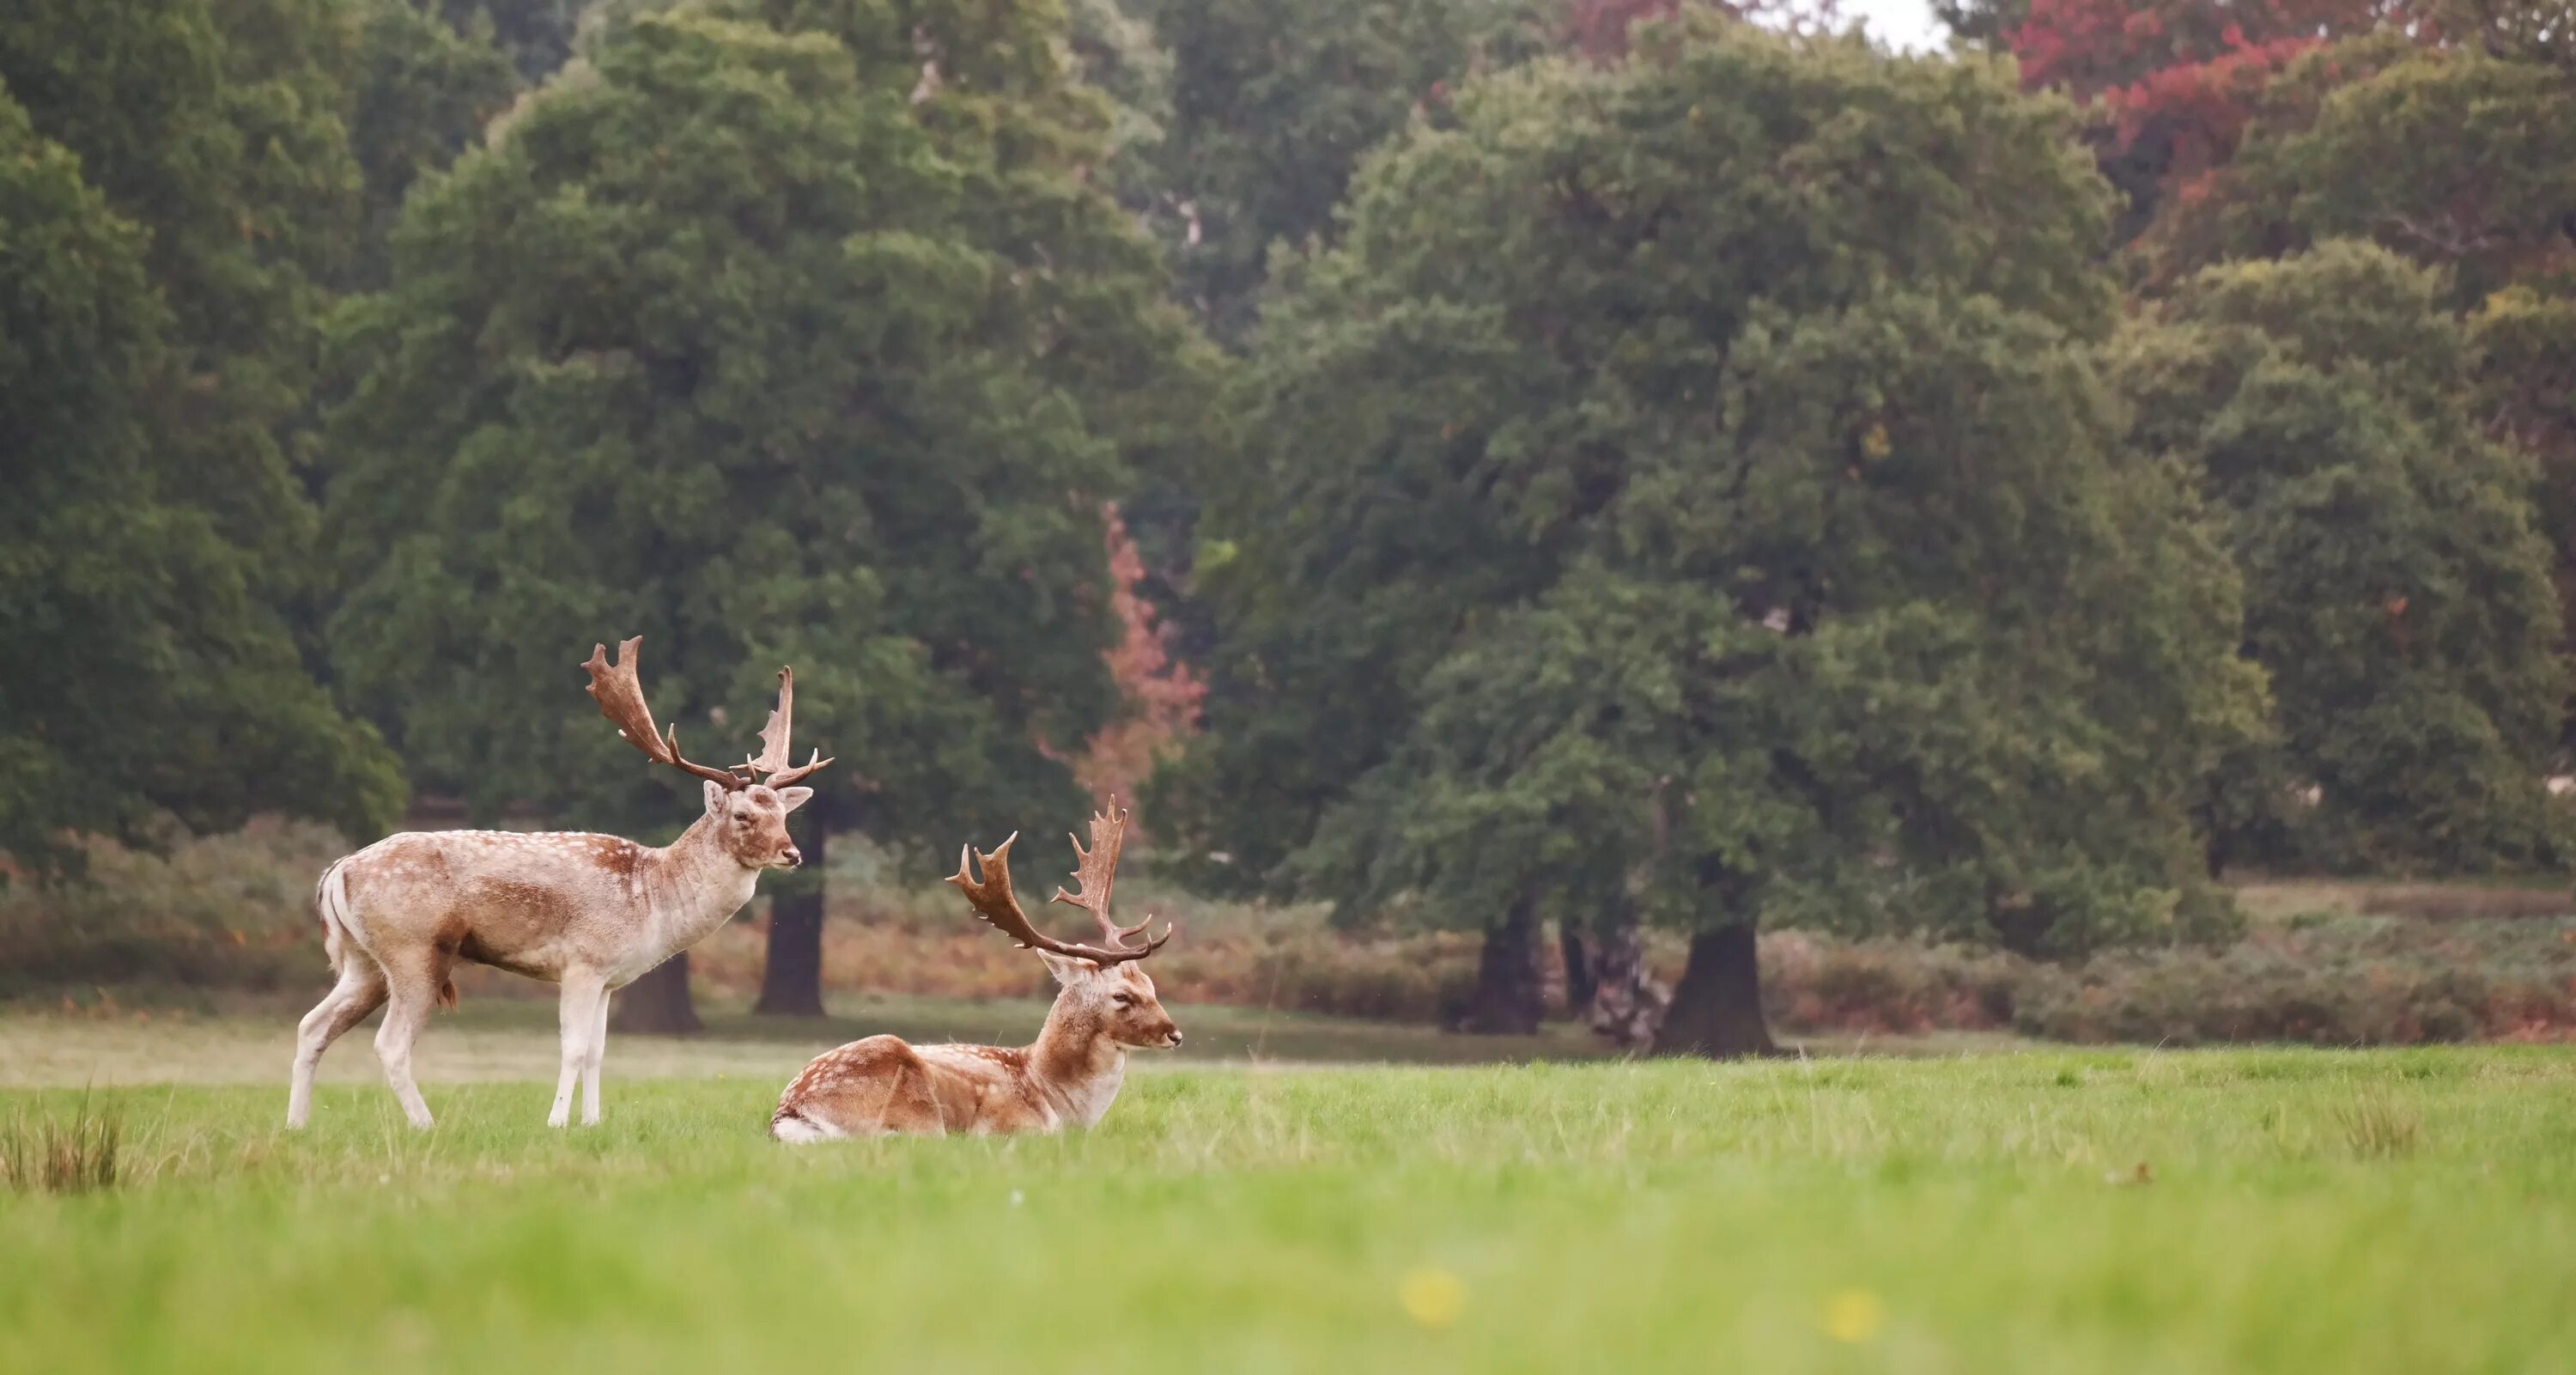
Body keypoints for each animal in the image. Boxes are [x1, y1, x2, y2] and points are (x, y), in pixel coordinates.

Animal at [295, 641, 835, 1138]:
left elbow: (597, 1051)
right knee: (389, 1044)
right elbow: (573, 1048)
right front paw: (556, 1123)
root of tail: (338, 871)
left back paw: (296, 1125)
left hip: (364, 962)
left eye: (783, 814)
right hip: (414, 950)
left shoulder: (609, 978)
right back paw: (427, 1126)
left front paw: (593, 1123)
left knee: (312, 1025)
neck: (650, 899)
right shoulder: (582, 962)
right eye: (743, 815)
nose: (792, 854)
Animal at [757, 808, 1175, 1143]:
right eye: (1121, 995)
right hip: (916, 1111)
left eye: (1152, 986)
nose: (1175, 1033)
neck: (1054, 1096)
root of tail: (789, 1114)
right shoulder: (1012, 1126)